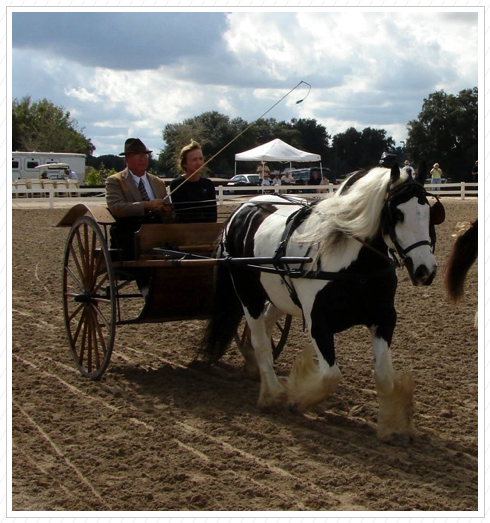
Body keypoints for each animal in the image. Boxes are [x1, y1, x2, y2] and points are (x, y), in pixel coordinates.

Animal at [201, 165, 446, 446]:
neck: (355, 267)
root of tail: (243, 208)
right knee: (260, 339)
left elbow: (384, 377)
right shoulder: (318, 324)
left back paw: (254, 367)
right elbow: (331, 376)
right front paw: (298, 398)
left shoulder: (384, 319)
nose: (425, 270)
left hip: (279, 294)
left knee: (265, 324)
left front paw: (391, 427)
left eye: (428, 212)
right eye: (397, 213)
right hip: (247, 292)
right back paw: (272, 393)